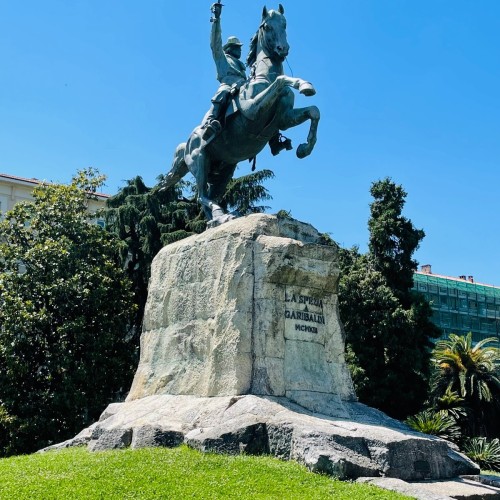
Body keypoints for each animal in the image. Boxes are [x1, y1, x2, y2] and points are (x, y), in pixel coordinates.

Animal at [164, 3, 320, 225]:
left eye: (285, 24)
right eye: (266, 26)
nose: (283, 49)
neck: (264, 77)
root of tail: (185, 145)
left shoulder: (284, 119)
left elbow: (314, 111)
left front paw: (304, 148)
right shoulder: (253, 111)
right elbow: (281, 79)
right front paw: (304, 84)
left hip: (225, 169)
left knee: (210, 196)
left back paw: (220, 217)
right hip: (199, 160)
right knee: (202, 195)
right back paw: (222, 215)